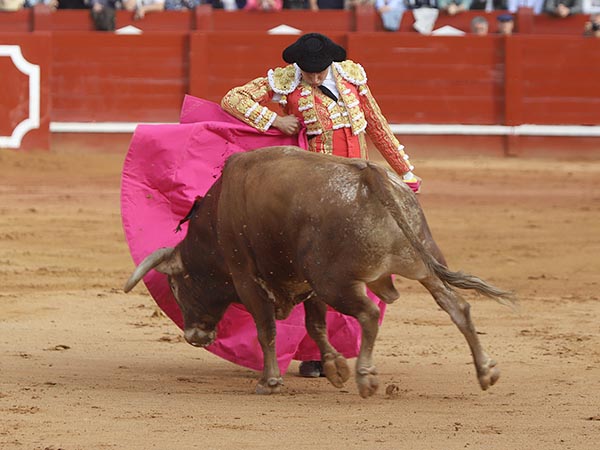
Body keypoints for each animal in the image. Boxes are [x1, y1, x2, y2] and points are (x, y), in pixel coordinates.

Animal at [123, 147, 516, 398]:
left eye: (177, 286)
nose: (194, 335)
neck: (216, 218)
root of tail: (371, 176)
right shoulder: (305, 281)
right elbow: (315, 325)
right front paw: (334, 366)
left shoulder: (247, 279)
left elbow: (266, 330)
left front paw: (269, 382)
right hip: (421, 264)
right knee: (457, 307)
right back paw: (486, 371)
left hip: (335, 283)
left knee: (369, 313)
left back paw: (366, 379)